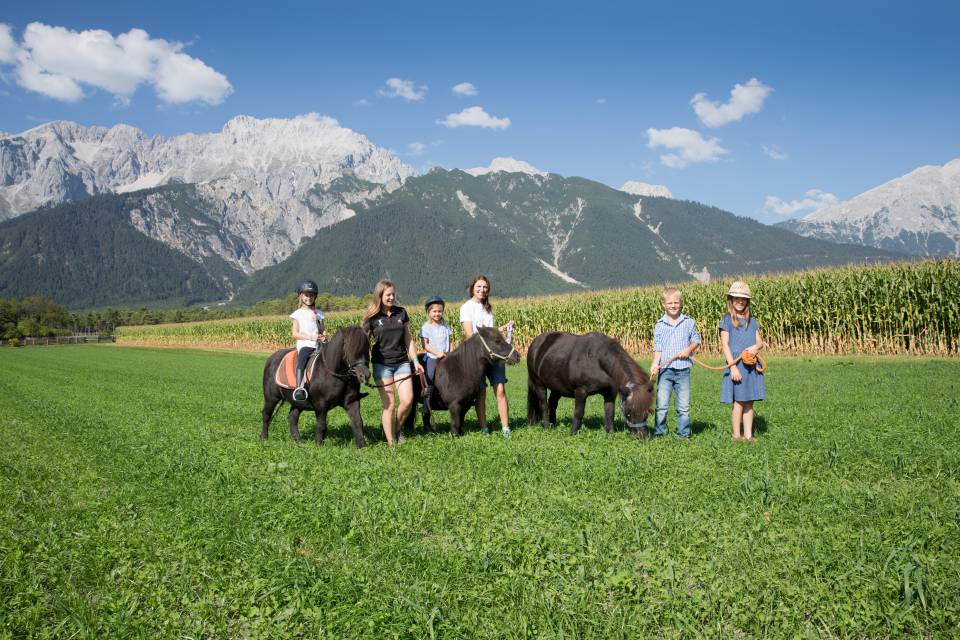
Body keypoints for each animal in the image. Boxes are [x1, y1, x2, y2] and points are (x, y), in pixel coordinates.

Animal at [524, 330, 652, 436]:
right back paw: (547, 427)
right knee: (544, 405)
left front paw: (610, 433)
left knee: (552, 403)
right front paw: (573, 433)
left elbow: (609, 413)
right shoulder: (581, 391)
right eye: (628, 411)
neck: (597, 360)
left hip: (557, 387)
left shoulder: (610, 394)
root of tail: (536, 343)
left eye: (648, 411)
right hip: (539, 384)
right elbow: (578, 413)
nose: (642, 436)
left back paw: (553, 424)